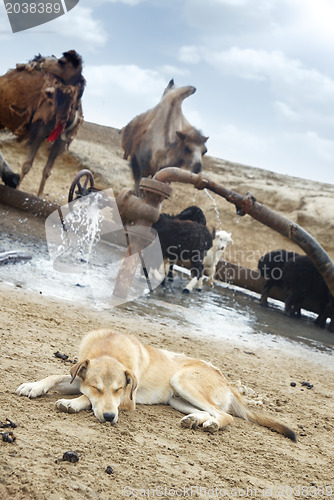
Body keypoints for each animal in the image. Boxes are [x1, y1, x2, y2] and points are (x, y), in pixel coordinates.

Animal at [0, 51, 85, 197]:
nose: (39, 61)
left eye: (62, 61)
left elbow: (47, 170)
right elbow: (27, 165)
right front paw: (17, 189)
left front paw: (40, 196)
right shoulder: (39, 131)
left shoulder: (61, 141)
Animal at [17, 332, 296, 442]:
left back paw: (212, 425)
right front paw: (33, 386)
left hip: (182, 380)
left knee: (225, 415)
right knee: (209, 411)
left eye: (118, 390)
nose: (109, 418)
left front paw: (72, 403)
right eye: (97, 387)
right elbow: (54, 376)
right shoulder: (79, 379)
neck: (108, 349)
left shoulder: (127, 401)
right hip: (177, 398)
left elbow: (85, 400)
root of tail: (226, 380)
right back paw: (196, 420)